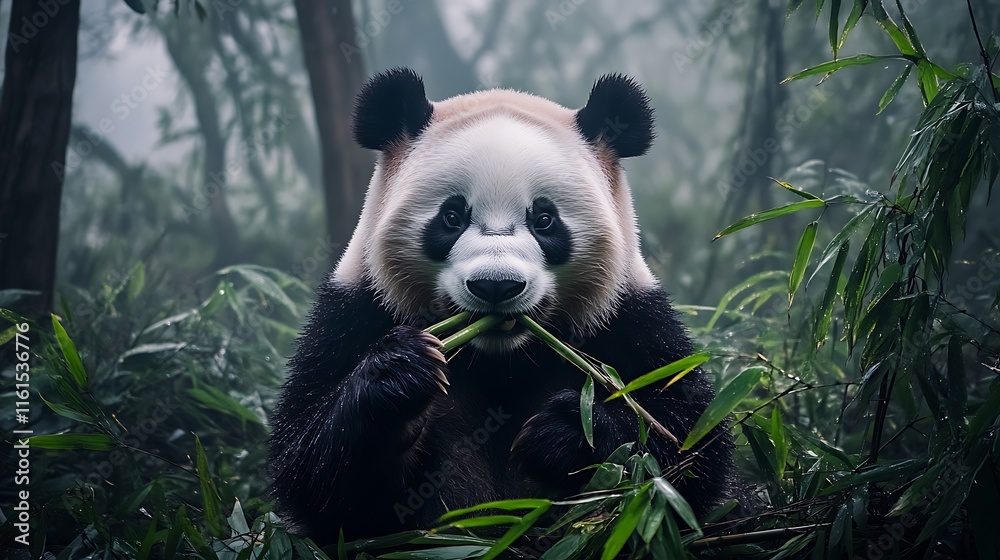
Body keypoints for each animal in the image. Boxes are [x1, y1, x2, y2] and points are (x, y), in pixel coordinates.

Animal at [269, 68, 733, 542]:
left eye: (544, 219)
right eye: (452, 217)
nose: (496, 286)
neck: (498, 358)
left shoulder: (630, 318)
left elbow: (687, 449)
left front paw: (566, 431)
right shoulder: (357, 311)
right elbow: (318, 477)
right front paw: (399, 371)